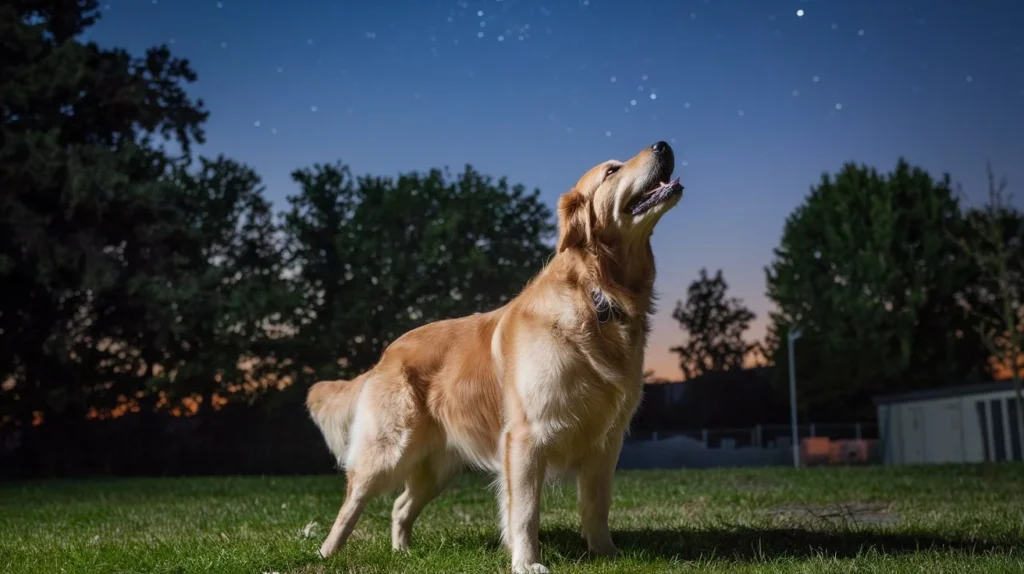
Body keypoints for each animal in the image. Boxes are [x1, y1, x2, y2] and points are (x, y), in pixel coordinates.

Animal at [307, 140, 684, 572]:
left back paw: (402, 552)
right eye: (611, 171)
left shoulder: (606, 442)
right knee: (351, 503)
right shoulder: (526, 438)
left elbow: (597, 505)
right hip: (387, 450)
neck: (598, 293)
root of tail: (385, 355)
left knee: (400, 506)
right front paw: (527, 563)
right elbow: (525, 512)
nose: (663, 145)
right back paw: (325, 553)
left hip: (438, 467)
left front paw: (606, 553)